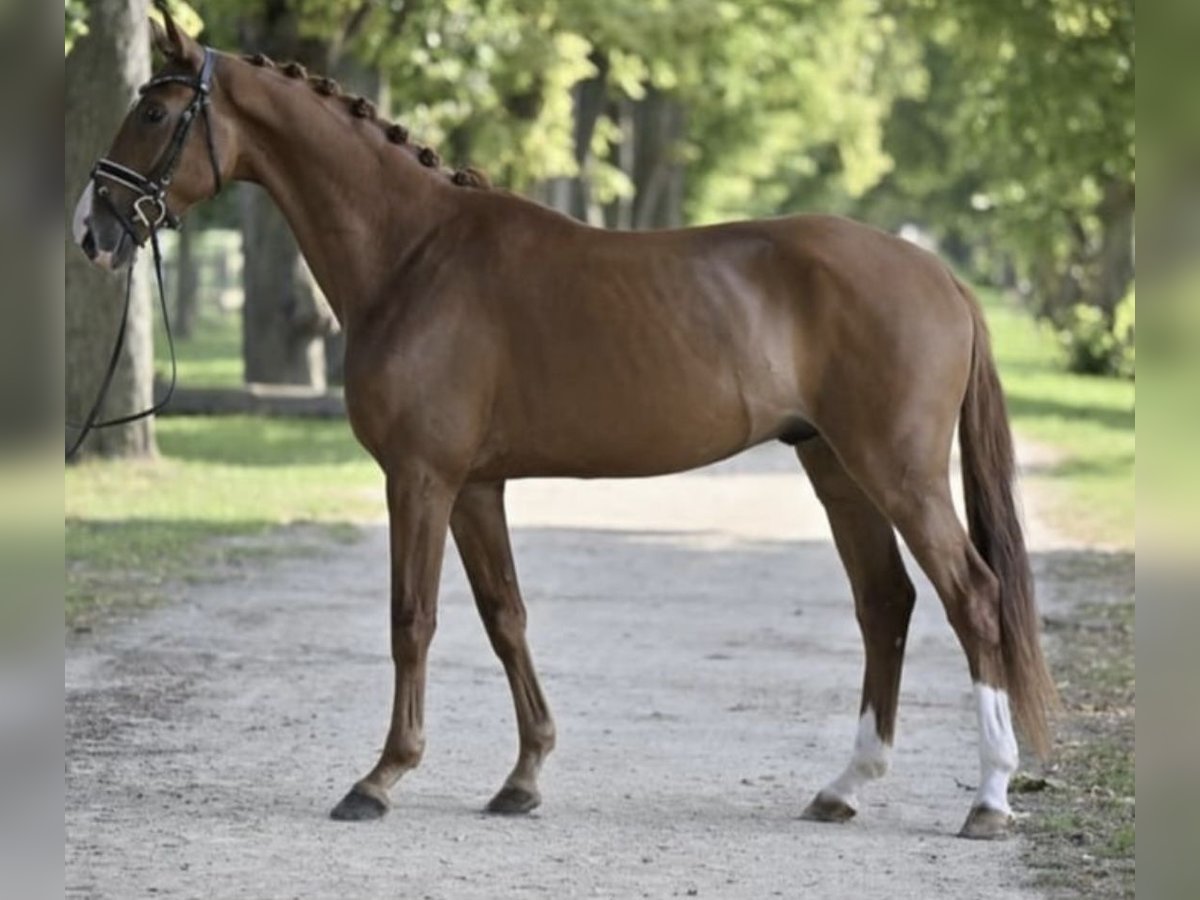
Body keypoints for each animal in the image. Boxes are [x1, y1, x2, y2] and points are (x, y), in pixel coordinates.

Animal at [70, 14, 1056, 844]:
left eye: (154, 111)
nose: (93, 229)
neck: (414, 255)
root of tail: (938, 274)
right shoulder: (474, 484)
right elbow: (504, 616)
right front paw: (523, 777)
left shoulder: (419, 477)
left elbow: (412, 619)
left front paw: (381, 778)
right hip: (835, 467)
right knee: (885, 603)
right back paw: (845, 786)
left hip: (899, 471)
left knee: (972, 597)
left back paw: (988, 797)